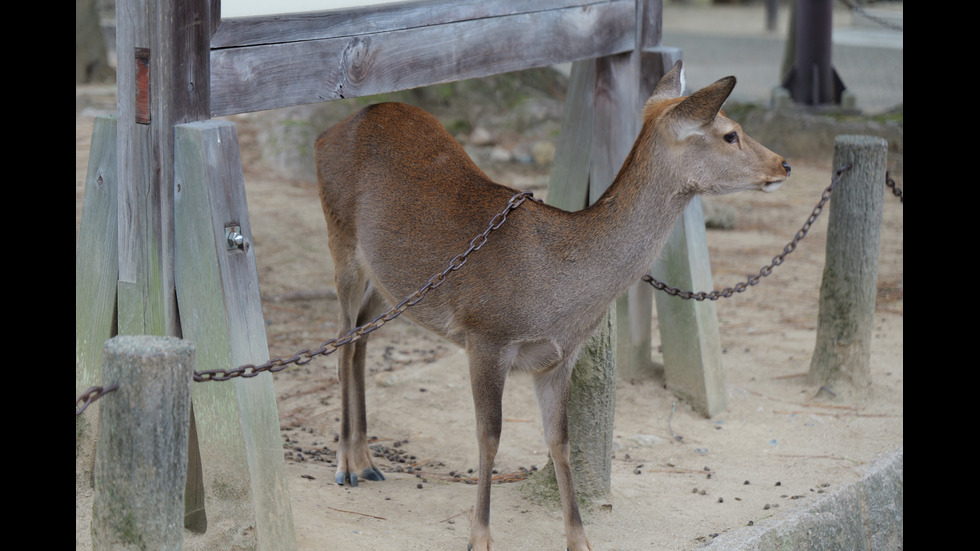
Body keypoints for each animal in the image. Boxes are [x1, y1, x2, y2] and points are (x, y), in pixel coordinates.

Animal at [314, 60, 788, 551]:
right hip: (340, 238)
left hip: (390, 285)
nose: (783, 164)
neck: (557, 291)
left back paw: (367, 459)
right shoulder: (486, 334)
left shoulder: (559, 357)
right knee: (342, 340)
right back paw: (346, 464)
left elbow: (559, 440)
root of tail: (327, 132)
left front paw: (579, 540)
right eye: (730, 134)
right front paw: (479, 537)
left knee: (361, 339)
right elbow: (489, 436)